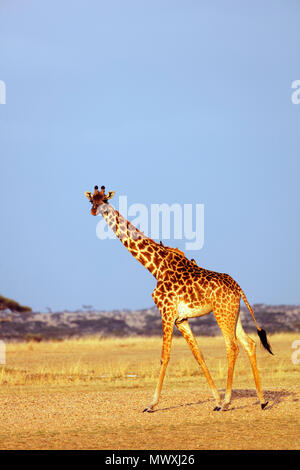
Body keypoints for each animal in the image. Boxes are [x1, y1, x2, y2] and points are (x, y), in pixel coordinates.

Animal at [84, 185, 272, 410]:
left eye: (104, 200)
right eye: (91, 200)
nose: (94, 211)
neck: (155, 267)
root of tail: (238, 288)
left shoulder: (166, 312)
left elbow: (164, 356)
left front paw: (151, 404)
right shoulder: (181, 319)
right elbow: (198, 355)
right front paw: (215, 398)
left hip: (221, 313)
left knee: (232, 347)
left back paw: (227, 402)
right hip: (234, 313)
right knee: (249, 343)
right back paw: (261, 400)